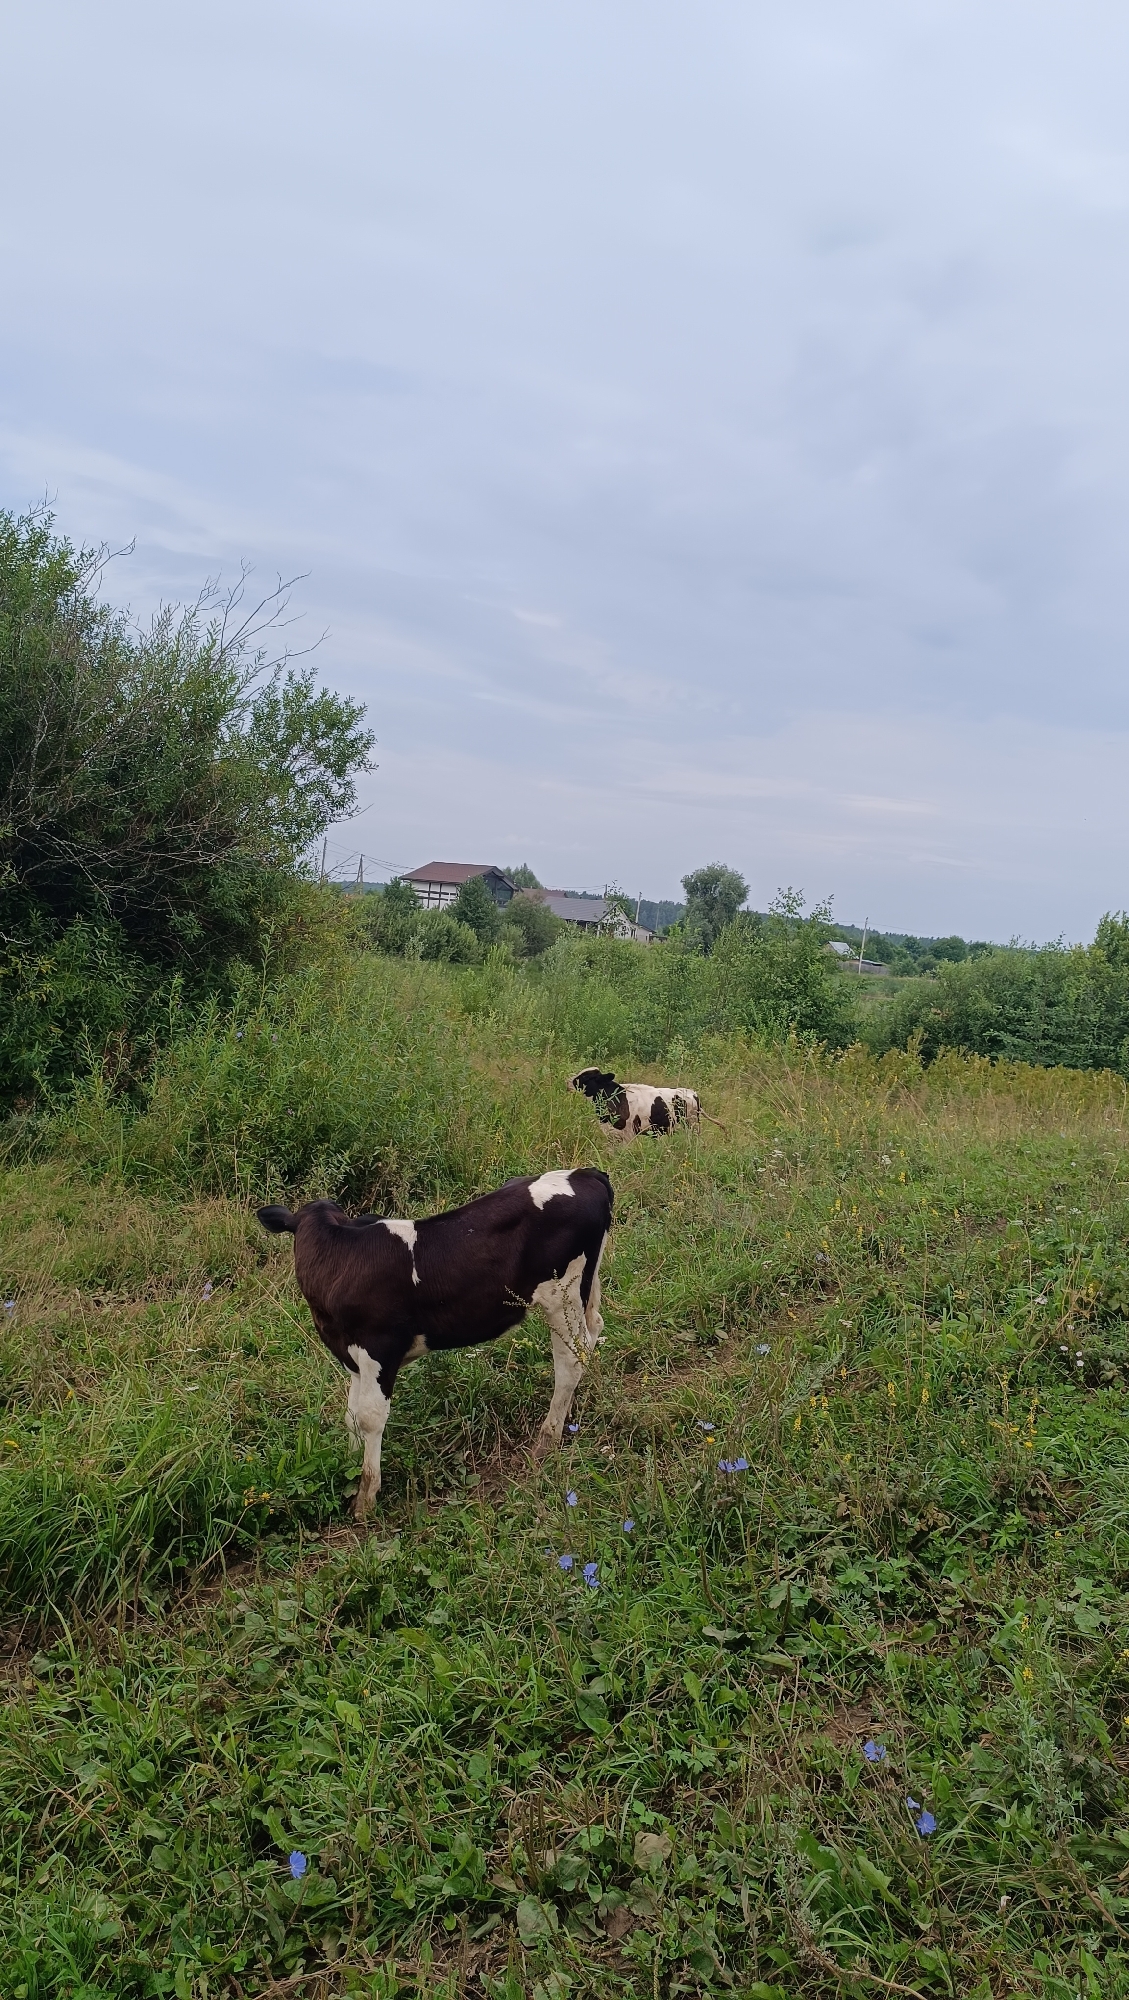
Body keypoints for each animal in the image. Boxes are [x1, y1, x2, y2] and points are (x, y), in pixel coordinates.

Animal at [256, 1168, 613, 1521]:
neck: (339, 1257)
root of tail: (585, 1173)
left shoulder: (378, 1348)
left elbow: (370, 1416)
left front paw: (365, 1498)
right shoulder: (352, 1356)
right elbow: (352, 1416)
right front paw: (349, 1465)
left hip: (562, 1295)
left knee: (570, 1359)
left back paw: (546, 1440)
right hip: (583, 1289)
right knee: (593, 1331)